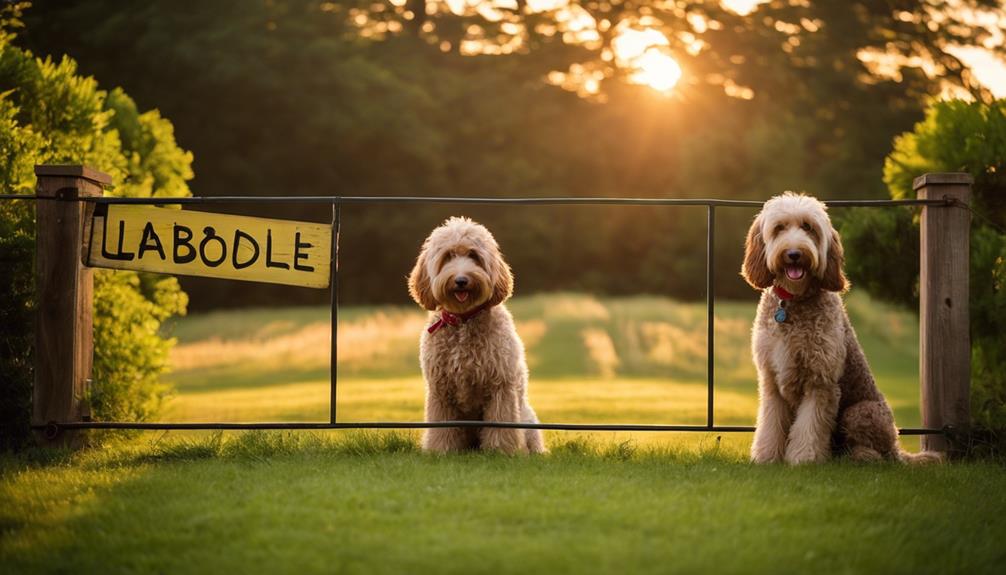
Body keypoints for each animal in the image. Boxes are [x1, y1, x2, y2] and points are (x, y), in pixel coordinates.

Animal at [408, 215, 547, 454]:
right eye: (448, 256)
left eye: (474, 255)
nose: (461, 280)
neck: (463, 319)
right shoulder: (440, 390)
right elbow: (441, 427)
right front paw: (441, 450)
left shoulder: (501, 386)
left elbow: (501, 423)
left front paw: (500, 451)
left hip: (527, 420)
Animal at [740, 194, 941, 466]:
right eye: (779, 228)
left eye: (808, 227)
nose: (794, 254)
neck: (793, 301)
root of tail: (898, 448)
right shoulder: (772, 381)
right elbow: (771, 425)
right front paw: (766, 457)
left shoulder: (821, 381)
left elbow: (809, 427)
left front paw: (804, 459)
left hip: (861, 411)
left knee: (876, 453)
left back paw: (861, 456)